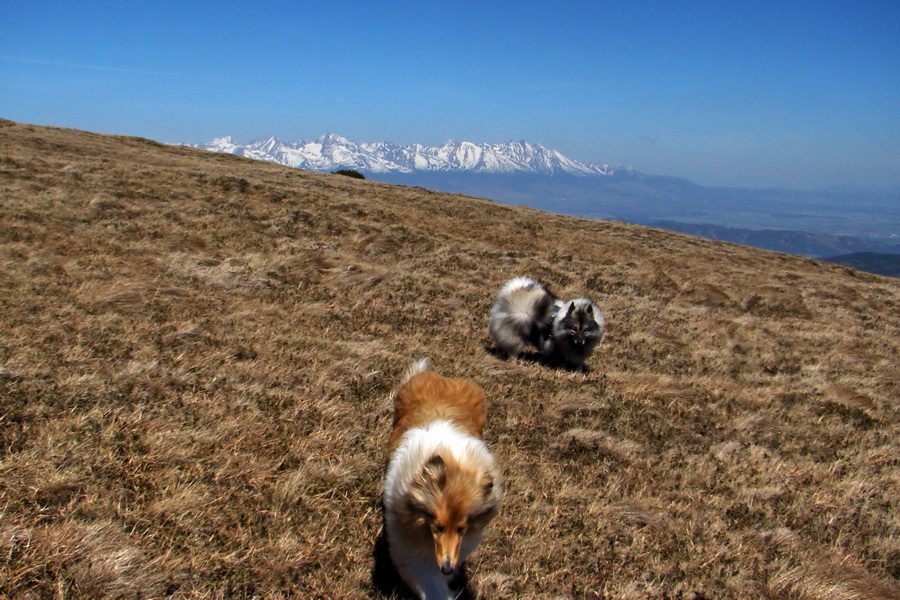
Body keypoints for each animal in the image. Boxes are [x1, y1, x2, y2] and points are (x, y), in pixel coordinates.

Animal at [384, 358, 502, 596]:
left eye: (461, 529)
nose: (447, 568)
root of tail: (442, 378)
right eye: (437, 526)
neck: (455, 464)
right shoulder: (409, 548)